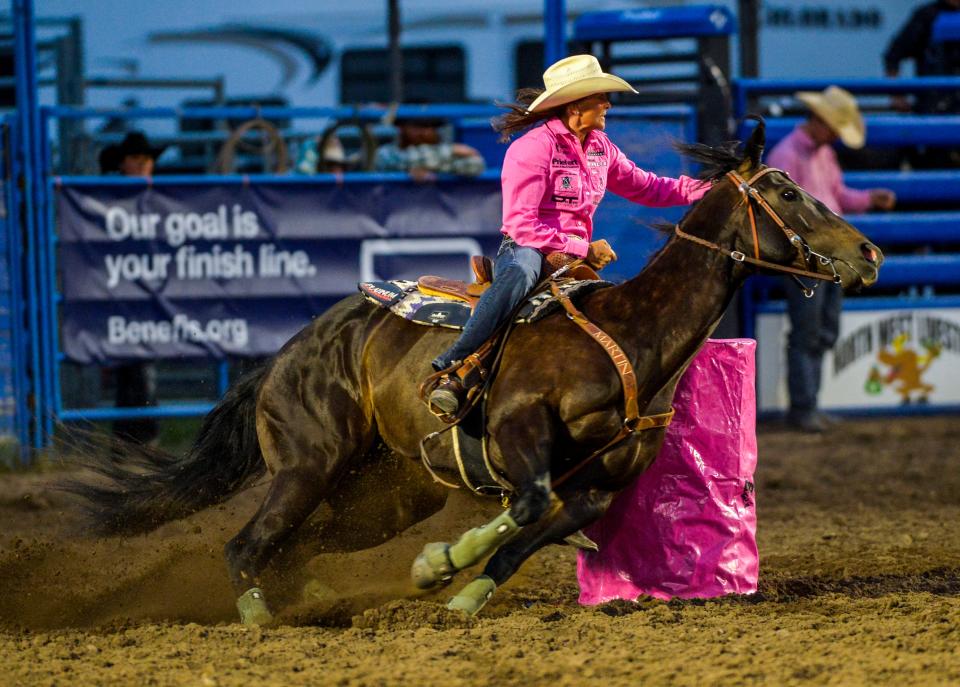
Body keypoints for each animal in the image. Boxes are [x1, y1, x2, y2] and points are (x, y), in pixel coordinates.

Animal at [73, 121, 884, 628]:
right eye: (786, 192)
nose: (870, 253)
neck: (628, 337)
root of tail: (282, 358)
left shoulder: (598, 486)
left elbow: (532, 530)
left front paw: (461, 593)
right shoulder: (516, 427)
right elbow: (526, 501)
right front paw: (445, 563)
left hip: (383, 498)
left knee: (299, 546)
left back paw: (310, 597)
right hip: (308, 465)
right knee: (247, 546)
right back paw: (258, 619)